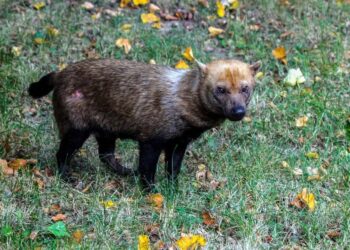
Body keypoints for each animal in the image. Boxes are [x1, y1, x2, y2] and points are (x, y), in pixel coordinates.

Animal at [28, 59, 260, 191]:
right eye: (220, 89)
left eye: (245, 88)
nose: (238, 112)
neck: (181, 101)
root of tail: (59, 74)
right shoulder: (151, 140)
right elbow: (148, 170)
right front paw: (152, 192)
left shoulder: (179, 142)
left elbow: (173, 167)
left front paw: (173, 188)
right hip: (77, 130)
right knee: (62, 154)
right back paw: (67, 178)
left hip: (106, 130)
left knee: (106, 155)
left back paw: (125, 171)